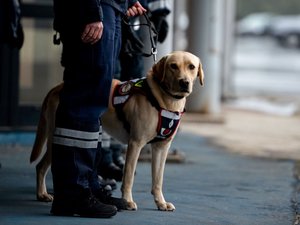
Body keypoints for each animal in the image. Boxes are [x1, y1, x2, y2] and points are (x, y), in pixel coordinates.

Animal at [29, 51, 204, 211]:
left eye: (191, 67)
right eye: (173, 66)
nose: (184, 82)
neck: (164, 99)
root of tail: (57, 87)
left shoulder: (161, 147)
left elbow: (158, 179)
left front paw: (160, 202)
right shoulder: (135, 144)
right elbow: (128, 177)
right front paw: (127, 201)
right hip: (58, 136)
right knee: (41, 166)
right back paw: (43, 194)